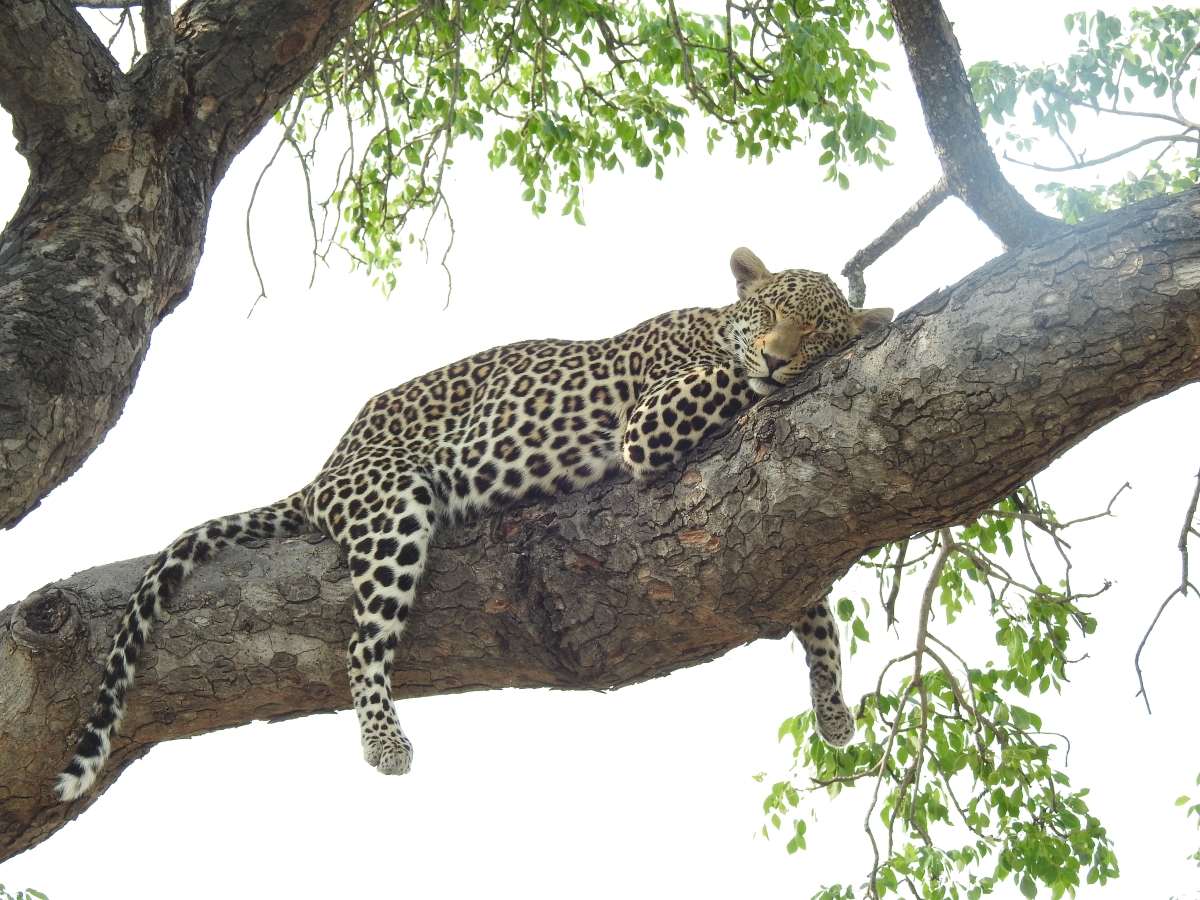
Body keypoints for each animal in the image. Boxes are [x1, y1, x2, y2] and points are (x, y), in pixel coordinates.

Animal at [60, 247, 897, 801]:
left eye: (815, 331)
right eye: (772, 314)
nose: (781, 359)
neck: (712, 323)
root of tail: (324, 472)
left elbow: (814, 608)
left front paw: (832, 708)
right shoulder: (652, 421)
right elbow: (729, 378)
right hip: (391, 507)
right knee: (361, 641)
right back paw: (385, 743)